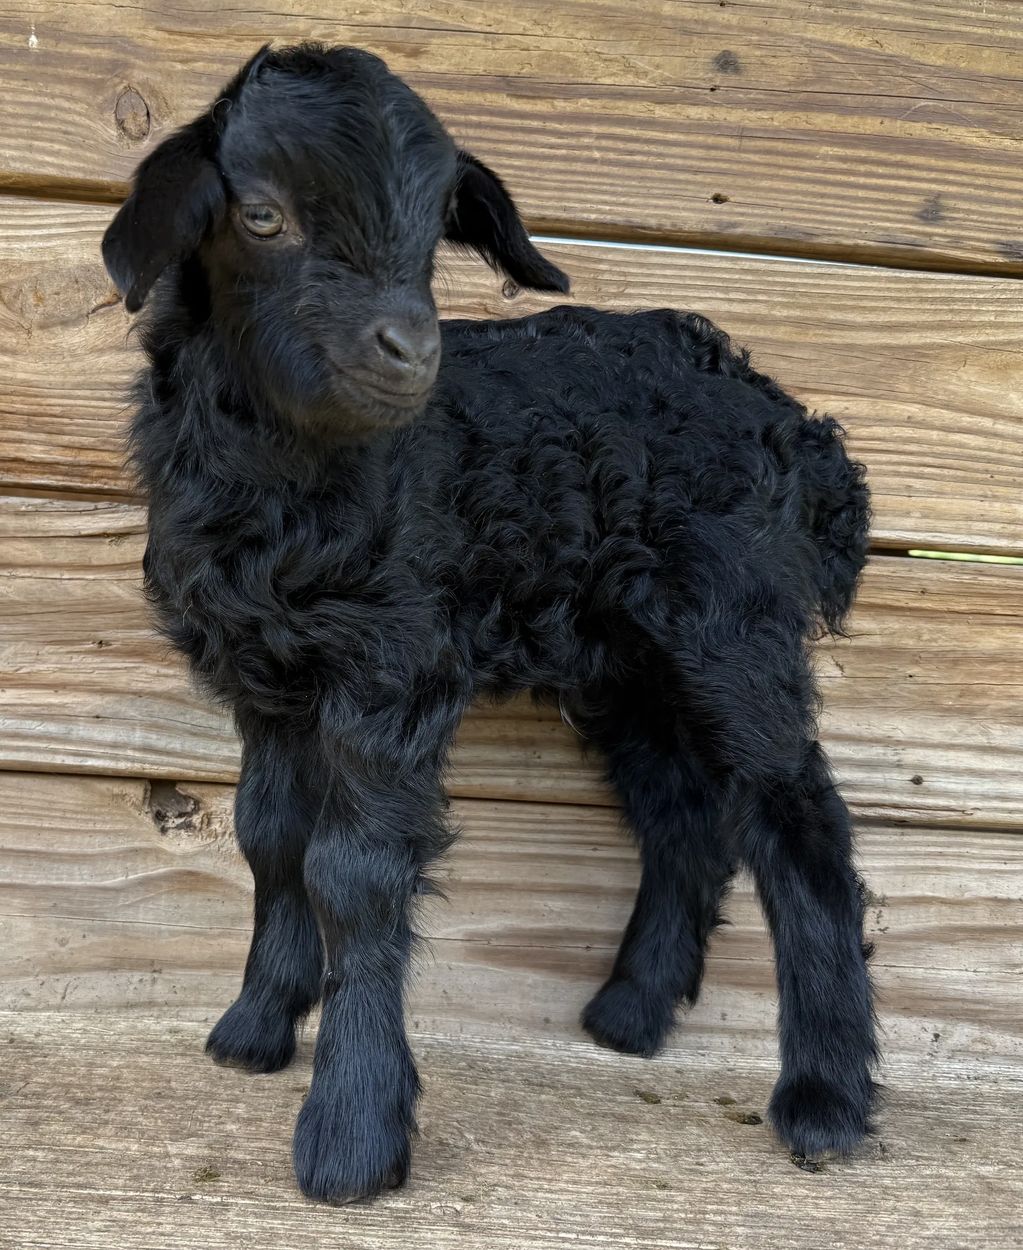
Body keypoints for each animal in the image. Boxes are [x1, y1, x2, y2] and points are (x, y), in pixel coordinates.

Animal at [102, 43, 877, 1204]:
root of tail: (792, 425)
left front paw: (351, 1134)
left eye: (434, 235)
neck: (287, 474)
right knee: (682, 816)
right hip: (625, 661)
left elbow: (351, 872)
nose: (409, 350)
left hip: (730, 625)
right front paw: (253, 1026)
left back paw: (824, 1101)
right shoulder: (267, 672)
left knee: (799, 821)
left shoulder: (395, 659)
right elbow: (268, 836)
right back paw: (628, 1014)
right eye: (263, 215)